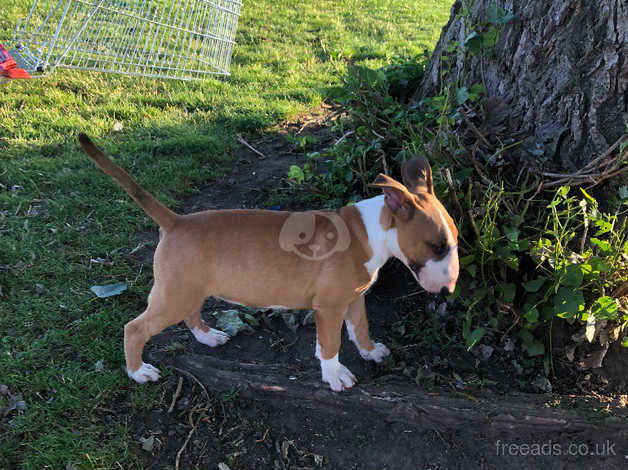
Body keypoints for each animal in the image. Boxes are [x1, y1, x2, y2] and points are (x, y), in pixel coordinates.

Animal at [79, 133, 462, 392]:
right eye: (436, 246)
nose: (450, 289)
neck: (370, 231)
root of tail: (176, 222)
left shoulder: (354, 298)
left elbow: (360, 328)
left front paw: (370, 352)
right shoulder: (329, 306)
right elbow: (331, 344)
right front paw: (335, 375)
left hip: (188, 289)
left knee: (190, 314)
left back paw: (208, 337)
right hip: (173, 294)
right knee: (134, 328)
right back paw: (138, 371)